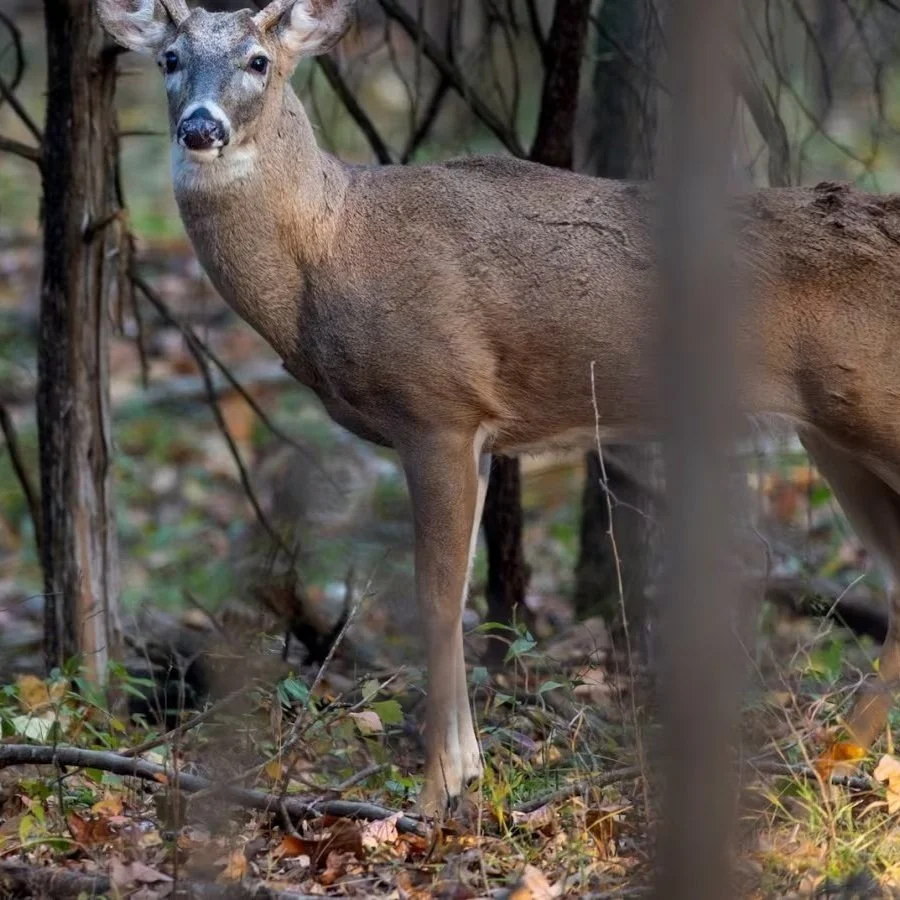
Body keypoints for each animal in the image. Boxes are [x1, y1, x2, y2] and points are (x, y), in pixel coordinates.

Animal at [97, 0, 900, 815]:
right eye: (169, 58)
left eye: (259, 60)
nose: (201, 128)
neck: (330, 247)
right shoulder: (478, 434)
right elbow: (460, 598)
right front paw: (470, 770)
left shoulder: (436, 406)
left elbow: (435, 595)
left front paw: (433, 795)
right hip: (833, 435)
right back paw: (832, 757)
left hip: (874, 409)